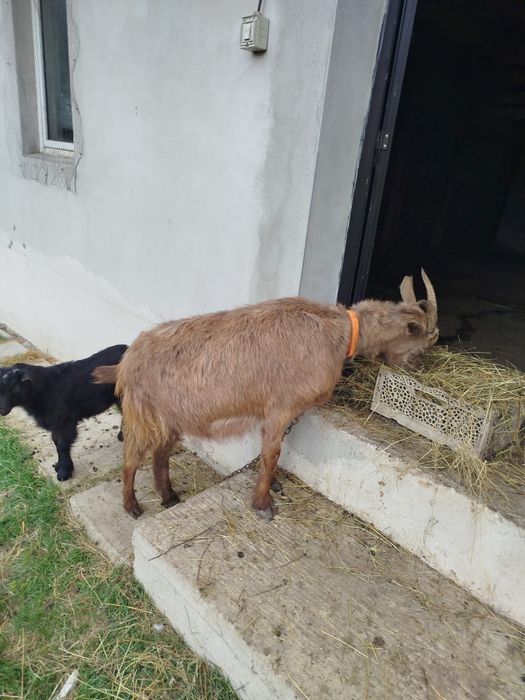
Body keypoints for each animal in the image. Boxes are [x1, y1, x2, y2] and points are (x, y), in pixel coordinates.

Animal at [0, 344, 127, 481]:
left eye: (14, 388)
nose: (1, 409)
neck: (46, 389)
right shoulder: (55, 424)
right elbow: (56, 442)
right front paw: (59, 466)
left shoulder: (64, 422)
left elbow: (62, 445)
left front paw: (64, 472)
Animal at [93, 271, 438, 519]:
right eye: (422, 345)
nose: (421, 368)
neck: (339, 332)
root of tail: (126, 362)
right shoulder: (280, 407)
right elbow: (272, 452)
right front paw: (263, 504)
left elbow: (274, 450)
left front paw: (272, 486)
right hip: (143, 413)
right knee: (131, 458)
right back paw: (132, 507)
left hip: (172, 417)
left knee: (160, 455)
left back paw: (169, 497)